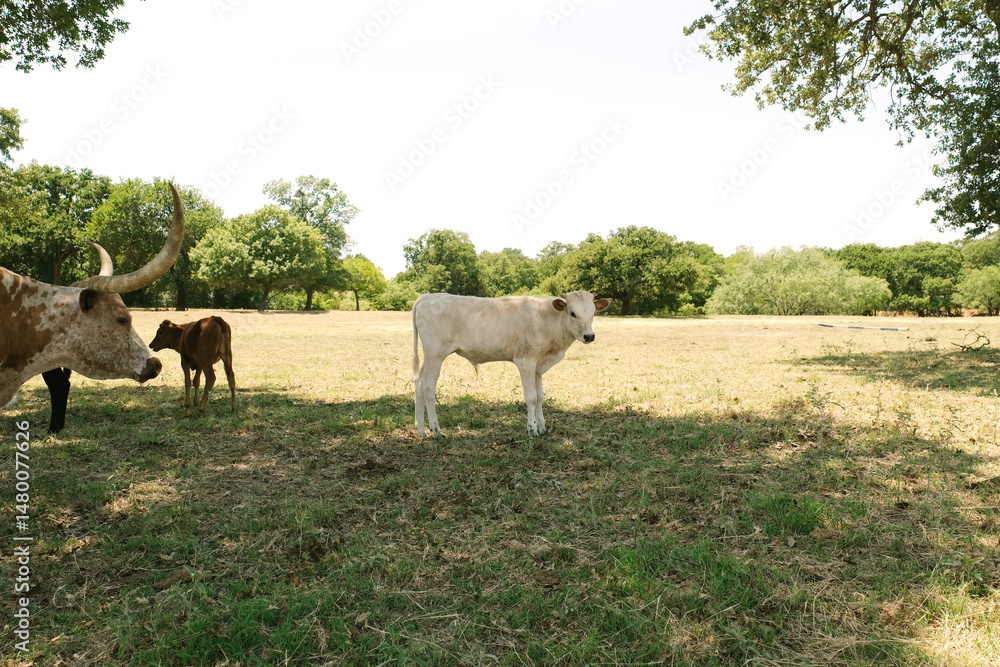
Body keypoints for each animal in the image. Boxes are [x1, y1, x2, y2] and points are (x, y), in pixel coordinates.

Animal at [411, 291, 610, 436]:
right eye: (573, 313)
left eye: (593, 313)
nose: (589, 336)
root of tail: (428, 296)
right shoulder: (526, 361)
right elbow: (531, 397)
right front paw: (532, 429)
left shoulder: (538, 367)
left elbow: (540, 396)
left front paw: (542, 427)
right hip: (436, 355)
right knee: (428, 387)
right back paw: (436, 430)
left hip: (429, 357)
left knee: (419, 383)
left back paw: (421, 429)